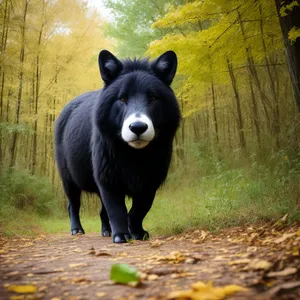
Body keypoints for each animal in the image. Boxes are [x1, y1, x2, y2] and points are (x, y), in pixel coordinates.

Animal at [54, 48, 180, 241]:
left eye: (153, 98)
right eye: (122, 99)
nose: (138, 127)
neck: (134, 155)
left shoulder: (151, 181)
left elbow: (139, 210)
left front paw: (137, 232)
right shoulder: (108, 179)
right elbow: (116, 209)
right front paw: (121, 235)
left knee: (101, 211)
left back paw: (106, 231)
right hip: (69, 180)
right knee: (73, 205)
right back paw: (77, 230)